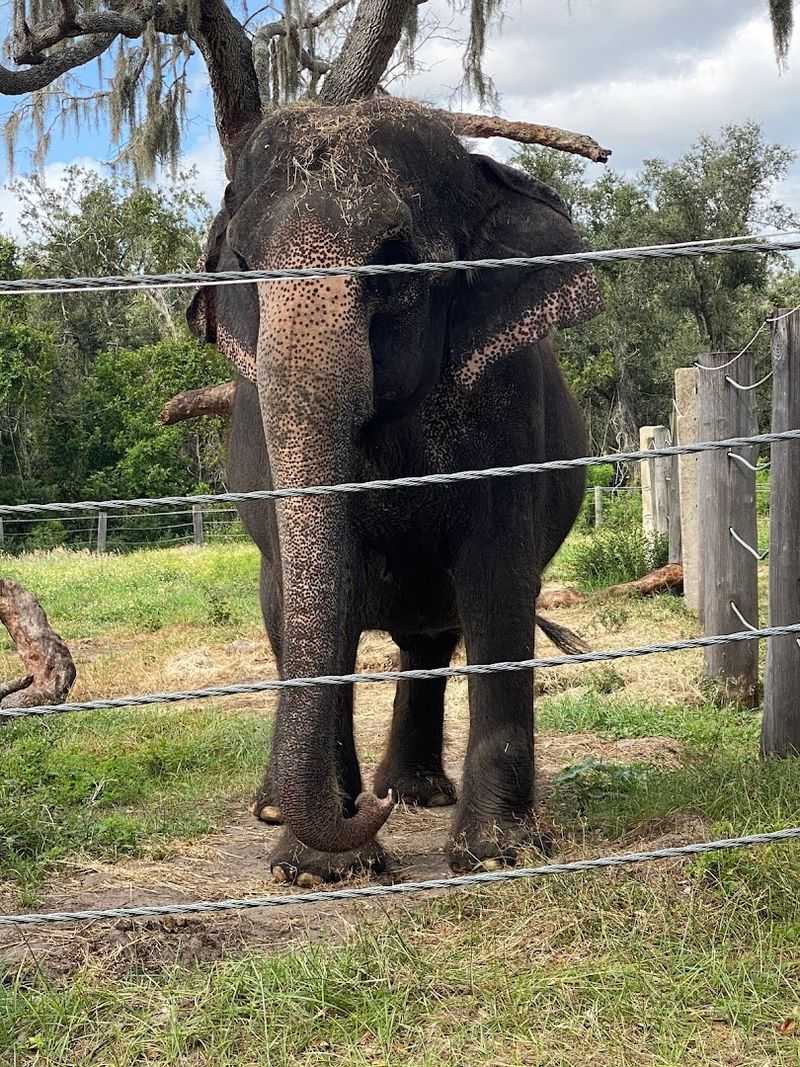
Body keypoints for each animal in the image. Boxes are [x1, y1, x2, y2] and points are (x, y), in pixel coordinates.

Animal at [188, 96, 603, 884]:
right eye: (245, 266)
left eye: (396, 259)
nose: (366, 811)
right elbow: (320, 593)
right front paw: (317, 869)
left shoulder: (507, 406)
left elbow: (498, 580)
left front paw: (496, 854)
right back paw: (304, 803)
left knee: (432, 637)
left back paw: (415, 794)